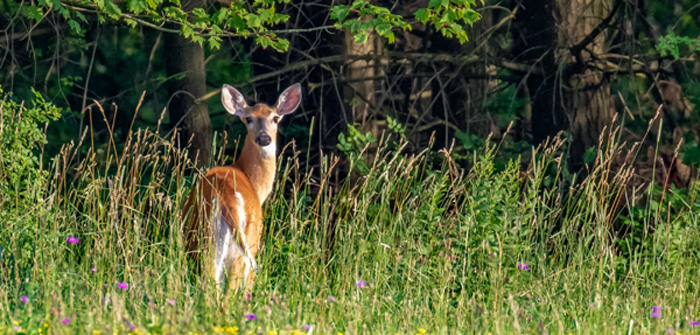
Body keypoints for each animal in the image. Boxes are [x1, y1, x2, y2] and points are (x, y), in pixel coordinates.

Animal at [180, 83, 300, 292]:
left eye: (275, 118)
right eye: (249, 118)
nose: (264, 138)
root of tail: (225, 195)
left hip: (206, 240)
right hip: (246, 243)